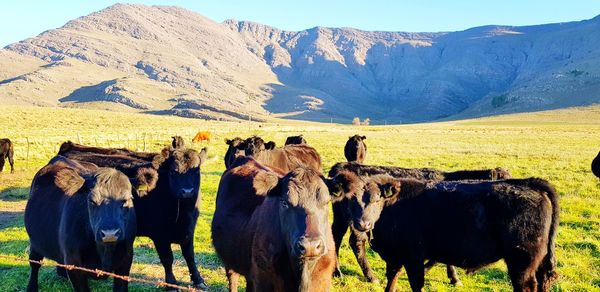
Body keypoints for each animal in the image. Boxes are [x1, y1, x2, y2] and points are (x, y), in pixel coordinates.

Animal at [25, 157, 138, 292]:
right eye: (91, 201)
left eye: (127, 199)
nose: (110, 234)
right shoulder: (74, 264)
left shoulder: (126, 260)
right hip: (35, 242)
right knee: (34, 263)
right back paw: (32, 287)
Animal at [59, 142, 209, 290]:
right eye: (173, 172)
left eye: (196, 171)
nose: (187, 191)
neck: (182, 214)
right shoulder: (160, 236)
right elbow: (167, 259)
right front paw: (171, 283)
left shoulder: (189, 231)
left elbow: (189, 256)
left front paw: (198, 279)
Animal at [213, 159, 340, 290]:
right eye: (284, 203)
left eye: (326, 202)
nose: (310, 246)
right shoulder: (264, 279)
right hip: (230, 260)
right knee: (232, 278)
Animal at [328, 161, 510, 284]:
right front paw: (453, 277)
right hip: (360, 221)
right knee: (357, 242)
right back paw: (370, 276)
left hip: (342, 218)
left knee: (336, 237)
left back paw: (337, 272)